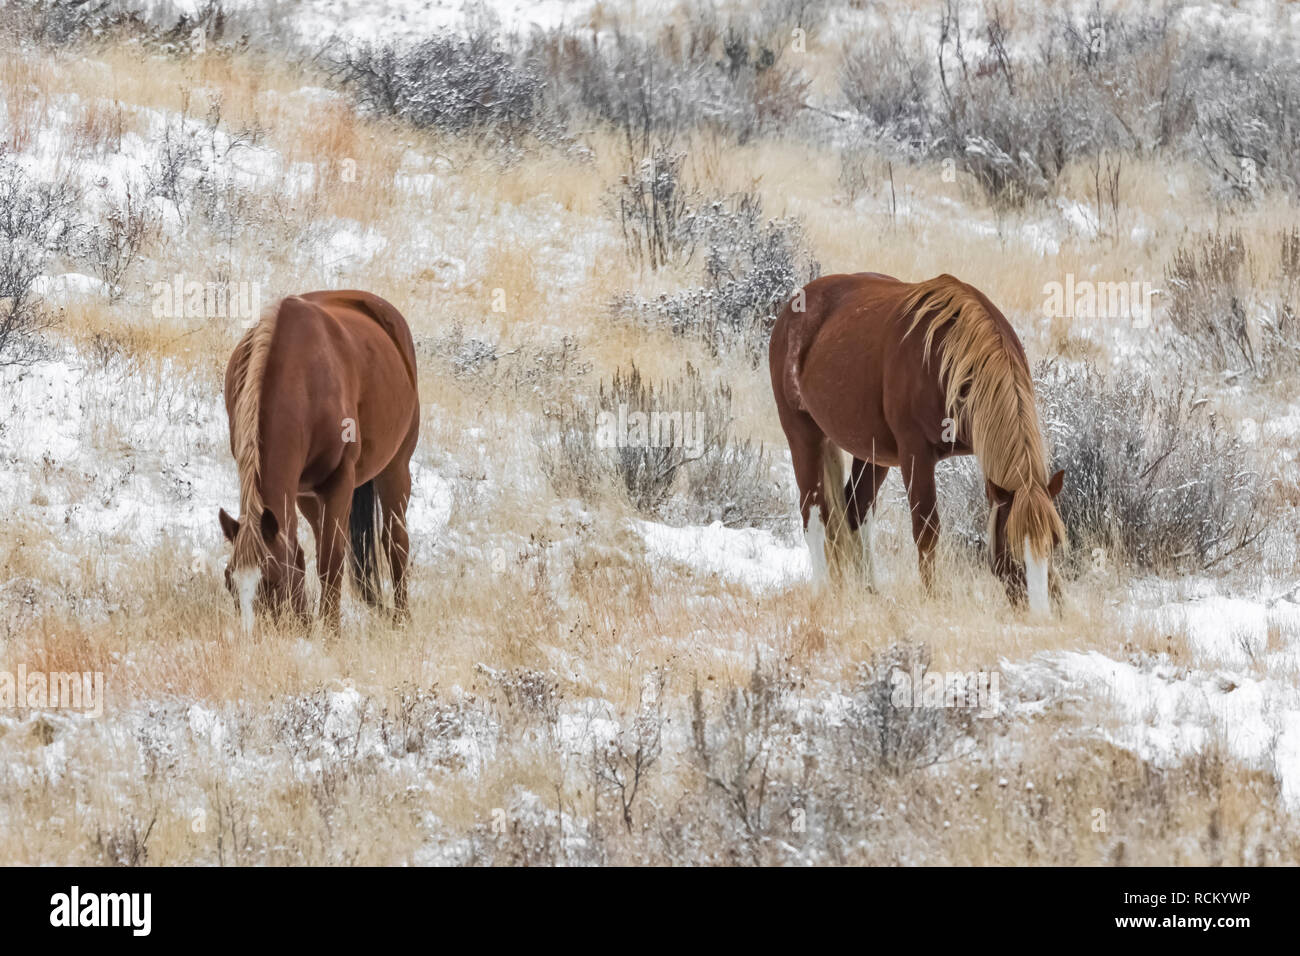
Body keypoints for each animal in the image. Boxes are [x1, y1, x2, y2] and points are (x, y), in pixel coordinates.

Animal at [217, 290, 421, 634]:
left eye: (272, 581)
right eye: (229, 581)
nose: (254, 636)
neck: (301, 379)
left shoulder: (339, 481)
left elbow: (331, 559)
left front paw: (330, 631)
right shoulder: (299, 489)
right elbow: (299, 555)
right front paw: (304, 627)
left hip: (395, 468)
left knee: (395, 540)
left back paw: (402, 618)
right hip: (308, 495)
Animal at [769, 272, 1065, 615]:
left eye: (1054, 543)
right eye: (1013, 547)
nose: (1039, 614)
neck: (948, 359)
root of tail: (792, 310)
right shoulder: (916, 454)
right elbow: (926, 530)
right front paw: (931, 598)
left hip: (871, 453)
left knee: (856, 509)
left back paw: (870, 591)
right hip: (803, 434)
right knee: (814, 512)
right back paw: (823, 592)